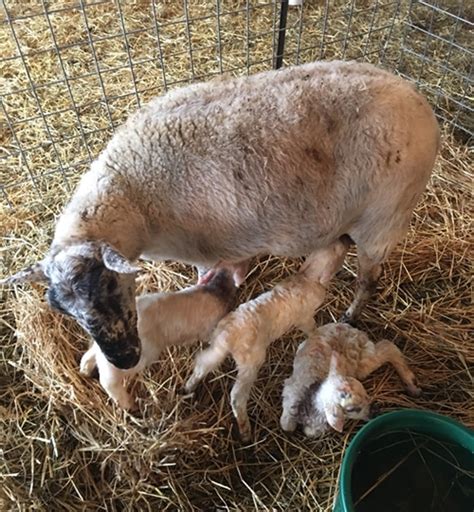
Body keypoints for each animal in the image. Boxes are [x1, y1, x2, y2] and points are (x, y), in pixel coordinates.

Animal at [0, 62, 440, 370]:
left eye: (110, 285)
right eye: (60, 309)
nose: (123, 359)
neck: (133, 195)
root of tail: (420, 100)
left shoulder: (200, 250)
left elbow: (204, 276)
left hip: (384, 218)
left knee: (370, 279)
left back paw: (350, 314)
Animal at [79, 270, 239, 410]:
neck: (218, 291)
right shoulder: (209, 329)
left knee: (93, 354)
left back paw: (85, 370)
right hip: (135, 356)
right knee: (108, 378)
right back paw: (128, 404)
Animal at [183, 239, 350, 440]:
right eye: (339, 252)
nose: (346, 240)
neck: (307, 278)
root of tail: (227, 336)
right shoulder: (304, 317)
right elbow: (311, 329)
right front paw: (317, 335)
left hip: (217, 348)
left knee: (203, 366)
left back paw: (189, 387)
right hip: (251, 362)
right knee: (237, 396)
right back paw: (245, 430)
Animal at [280, 320, 420, 436]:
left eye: (366, 394)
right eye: (351, 409)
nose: (375, 411)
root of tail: (344, 327)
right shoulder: (291, 396)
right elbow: (287, 425)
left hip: (361, 359)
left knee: (388, 347)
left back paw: (411, 383)